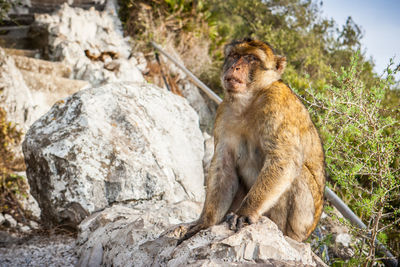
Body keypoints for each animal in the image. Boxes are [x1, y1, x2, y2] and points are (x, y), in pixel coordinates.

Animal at [180, 39, 326, 243]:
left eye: (251, 58)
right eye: (234, 56)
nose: (234, 67)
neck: (250, 100)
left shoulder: (276, 103)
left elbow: (284, 160)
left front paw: (245, 212)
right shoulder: (224, 111)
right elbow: (224, 164)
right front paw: (205, 221)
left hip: (301, 223)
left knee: (298, 173)